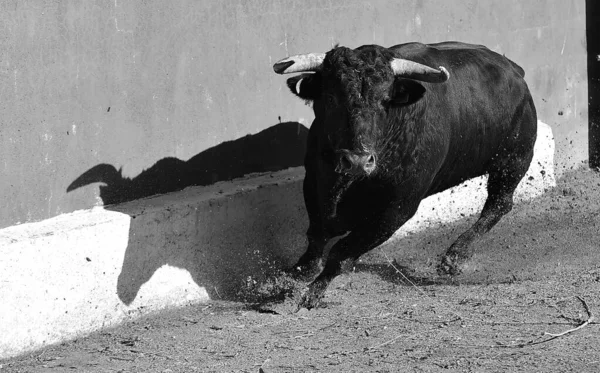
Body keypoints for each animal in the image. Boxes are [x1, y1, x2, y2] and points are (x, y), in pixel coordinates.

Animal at [272, 41, 536, 308]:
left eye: (385, 100)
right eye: (330, 97)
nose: (358, 161)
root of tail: (515, 70)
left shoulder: (397, 209)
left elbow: (342, 251)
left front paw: (311, 293)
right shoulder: (314, 183)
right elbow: (316, 236)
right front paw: (292, 277)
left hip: (513, 162)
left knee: (499, 204)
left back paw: (454, 257)